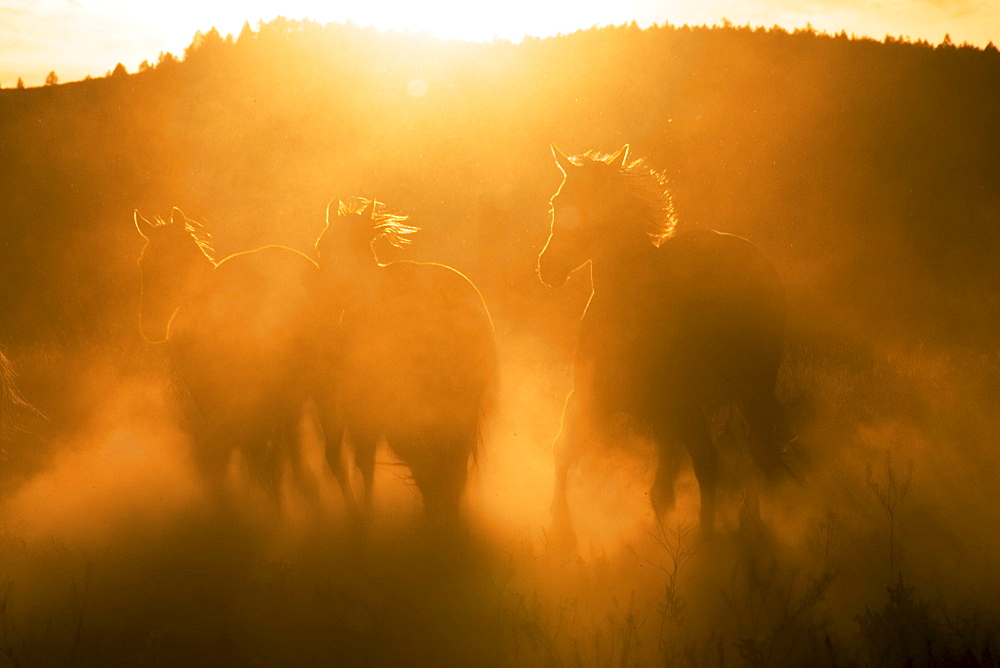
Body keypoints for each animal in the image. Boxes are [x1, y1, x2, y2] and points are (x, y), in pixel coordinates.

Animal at [540, 146, 788, 544]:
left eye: (596, 204)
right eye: (556, 202)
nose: (548, 268)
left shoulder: (682, 408)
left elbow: (704, 467)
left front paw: (704, 541)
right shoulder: (593, 398)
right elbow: (564, 449)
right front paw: (561, 528)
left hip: (752, 391)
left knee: (753, 453)